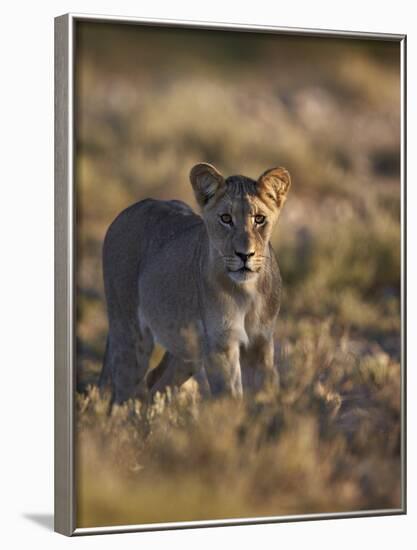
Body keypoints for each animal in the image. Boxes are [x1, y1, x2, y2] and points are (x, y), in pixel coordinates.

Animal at [99, 162, 290, 404]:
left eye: (259, 219)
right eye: (225, 218)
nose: (244, 255)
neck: (247, 291)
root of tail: (127, 211)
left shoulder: (260, 341)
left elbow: (265, 391)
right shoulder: (220, 346)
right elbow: (229, 397)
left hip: (187, 351)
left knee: (156, 381)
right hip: (131, 337)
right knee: (121, 397)